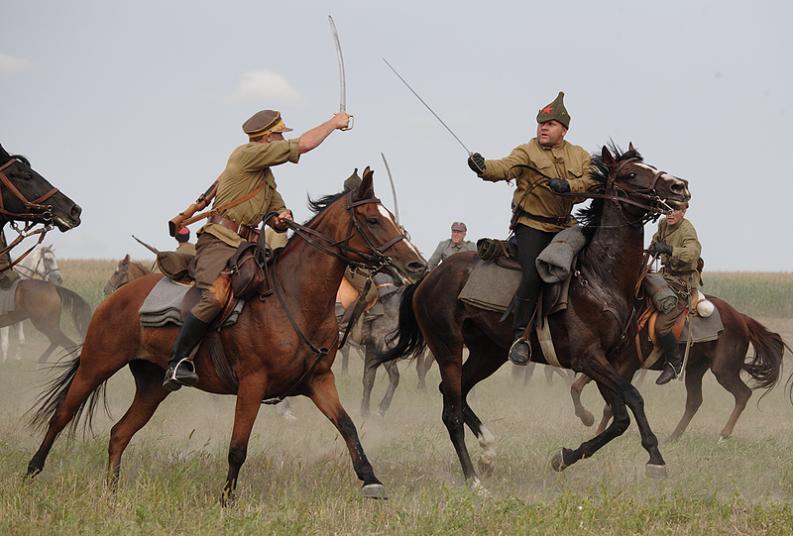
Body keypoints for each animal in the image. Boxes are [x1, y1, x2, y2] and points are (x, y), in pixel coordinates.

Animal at [24, 171, 426, 502]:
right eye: (373, 219)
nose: (416, 264)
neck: (293, 297)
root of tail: (116, 298)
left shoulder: (318, 380)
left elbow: (348, 425)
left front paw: (371, 479)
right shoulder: (252, 383)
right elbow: (238, 446)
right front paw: (226, 500)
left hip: (152, 385)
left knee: (119, 432)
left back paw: (111, 490)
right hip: (96, 365)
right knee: (61, 415)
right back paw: (32, 472)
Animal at [380, 144, 688, 488]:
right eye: (632, 173)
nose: (679, 186)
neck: (598, 277)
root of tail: (428, 279)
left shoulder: (608, 361)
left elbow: (620, 416)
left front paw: (565, 457)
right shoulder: (588, 358)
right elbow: (634, 397)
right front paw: (656, 459)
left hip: (488, 353)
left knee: (455, 393)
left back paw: (488, 450)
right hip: (447, 346)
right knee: (451, 411)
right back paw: (474, 480)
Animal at [568, 298, 784, 440]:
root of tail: (741, 318)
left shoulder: (628, 366)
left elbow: (611, 403)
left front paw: (598, 432)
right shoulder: (606, 363)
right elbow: (576, 387)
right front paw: (587, 419)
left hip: (723, 370)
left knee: (743, 393)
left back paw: (724, 434)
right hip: (695, 369)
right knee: (695, 401)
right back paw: (673, 437)